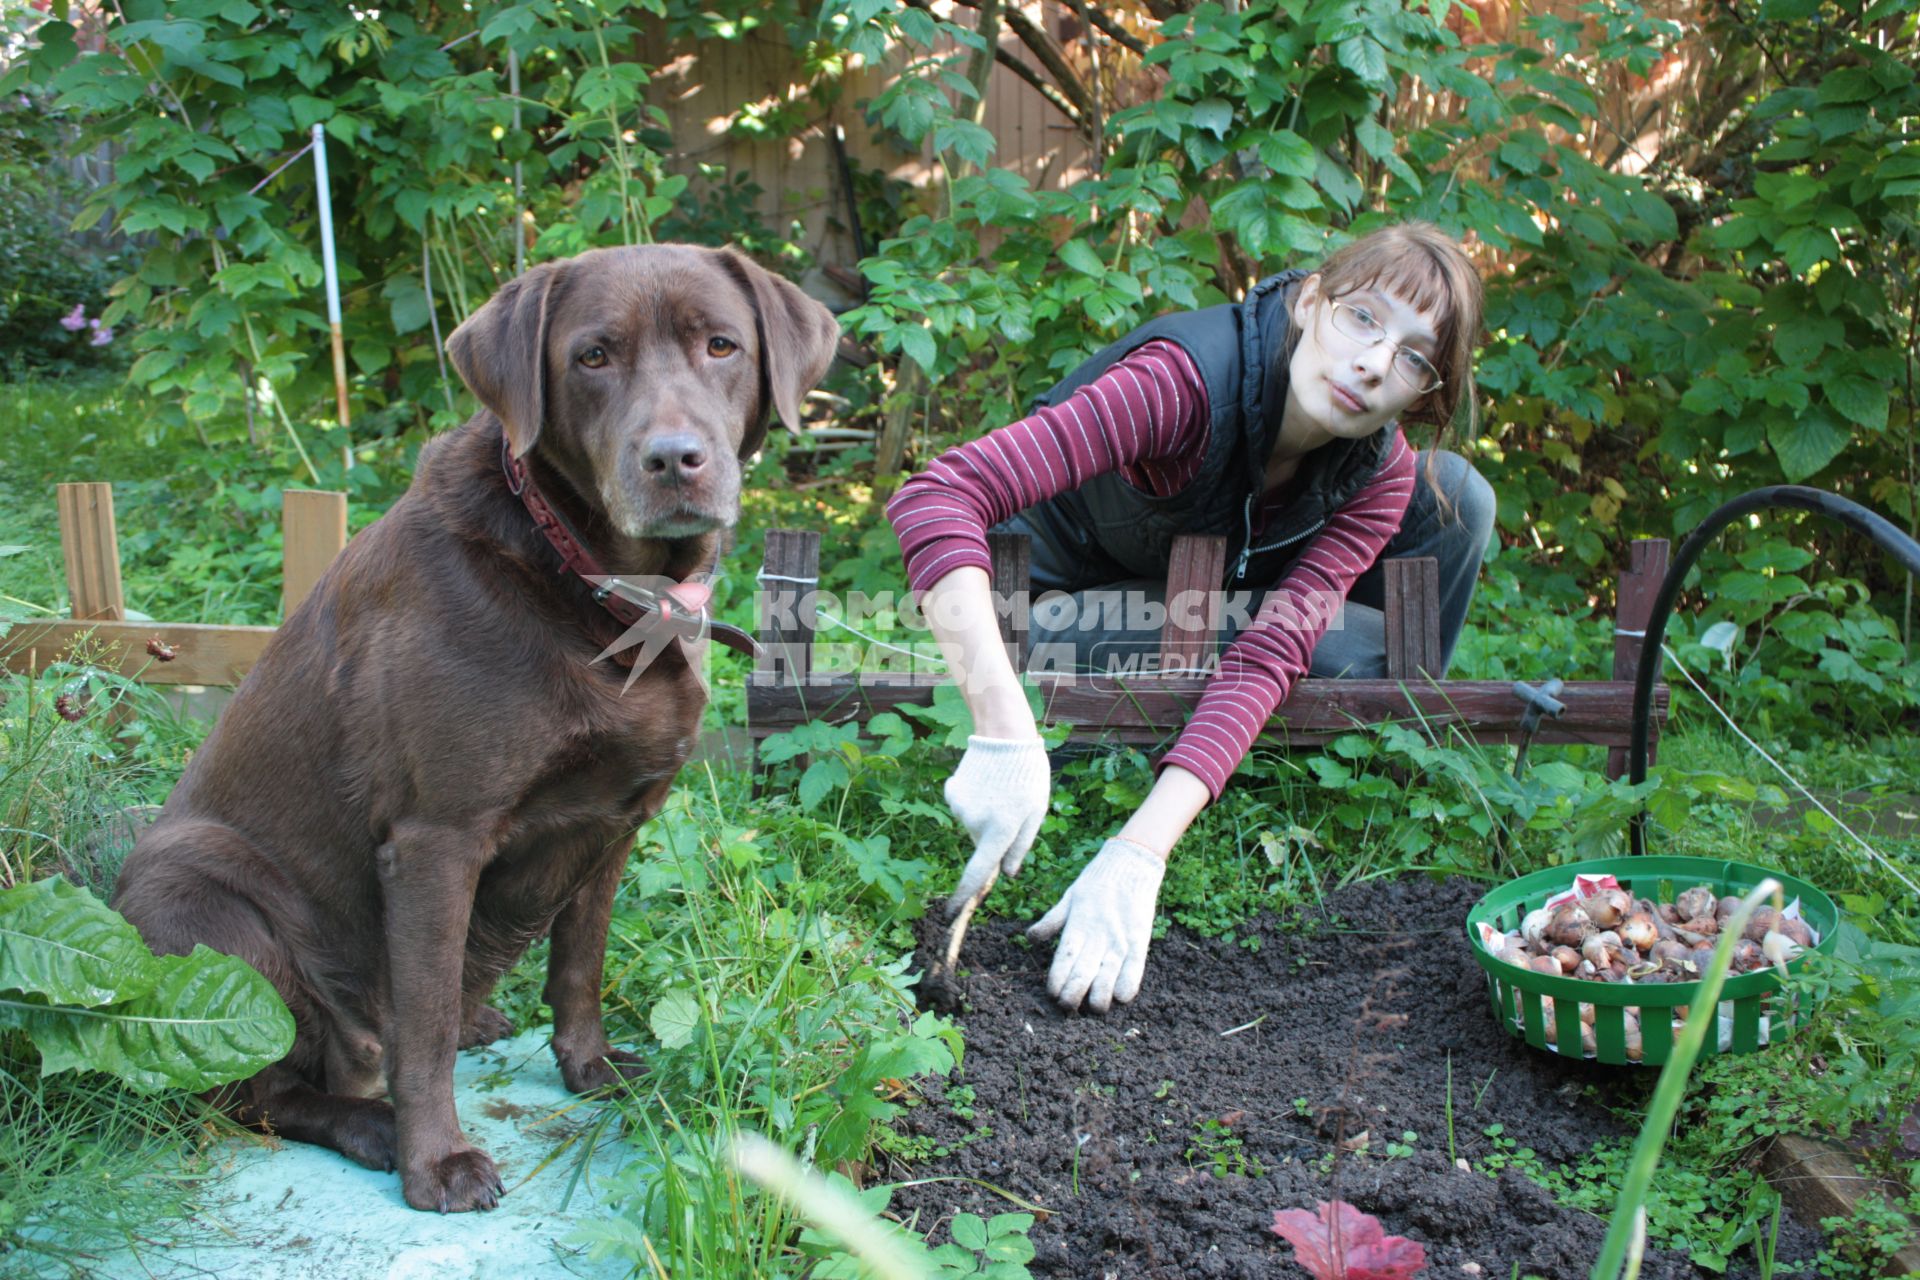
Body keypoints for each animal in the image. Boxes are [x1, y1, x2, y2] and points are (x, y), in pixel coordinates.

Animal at [108, 239, 837, 1212]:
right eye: (592, 356)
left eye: (721, 345)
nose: (674, 458)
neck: (599, 592)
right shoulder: (433, 840)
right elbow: (419, 1034)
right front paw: (438, 1162)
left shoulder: (615, 824)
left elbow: (579, 967)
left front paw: (588, 1067)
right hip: (196, 899)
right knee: (260, 1088)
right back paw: (373, 1125)